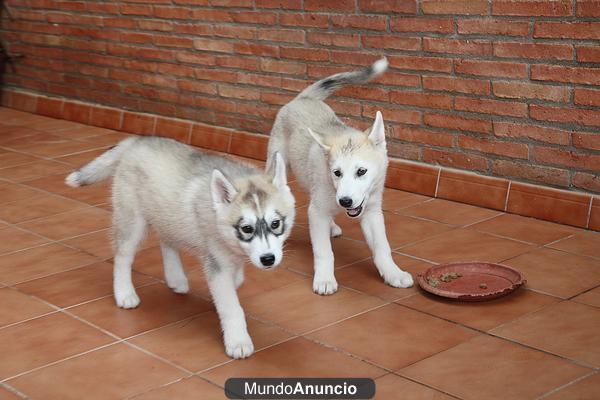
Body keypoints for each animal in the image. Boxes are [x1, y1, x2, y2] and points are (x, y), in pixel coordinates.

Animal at [65, 136, 296, 358]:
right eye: (246, 228)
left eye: (276, 223)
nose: (268, 259)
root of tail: (138, 140)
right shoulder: (217, 264)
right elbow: (231, 306)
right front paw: (238, 342)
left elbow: (236, 279)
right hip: (132, 221)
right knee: (123, 256)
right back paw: (124, 293)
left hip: (166, 214)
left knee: (166, 240)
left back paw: (175, 278)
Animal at [268, 57, 412, 296]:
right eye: (337, 173)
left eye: (361, 171)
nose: (345, 201)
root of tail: (303, 98)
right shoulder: (318, 212)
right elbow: (324, 252)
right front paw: (324, 280)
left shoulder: (372, 211)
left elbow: (382, 247)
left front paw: (393, 273)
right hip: (277, 165)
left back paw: (332, 226)